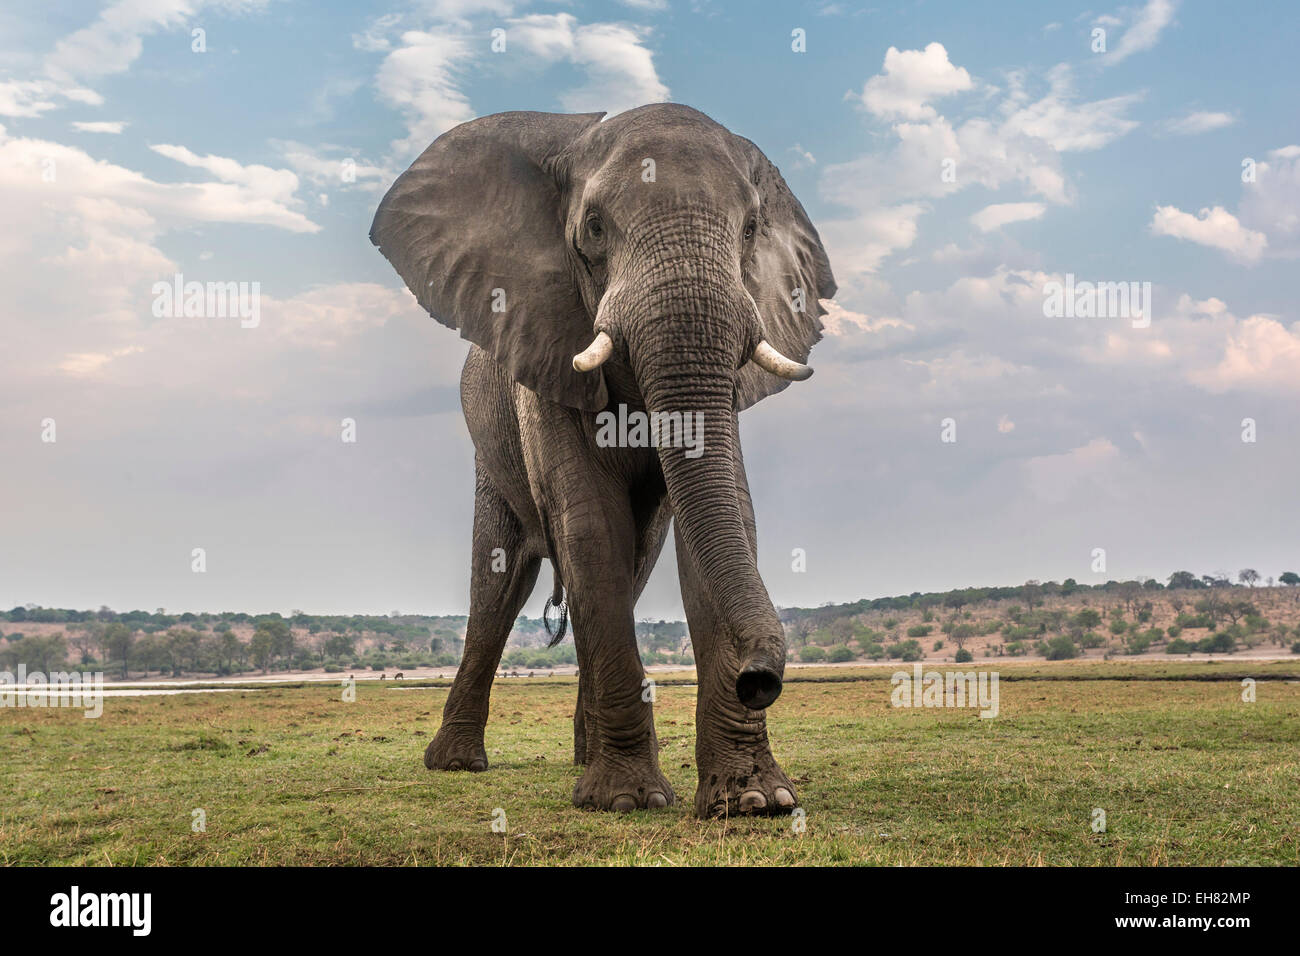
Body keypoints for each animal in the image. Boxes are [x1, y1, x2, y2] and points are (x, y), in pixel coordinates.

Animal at [369, 102, 832, 816]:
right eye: (593, 227)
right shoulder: (544, 355)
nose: (758, 679)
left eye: (753, 228)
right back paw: (458, 764)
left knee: (629, 567)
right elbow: (590, 525)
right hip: (490, 453)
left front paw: (756, 802)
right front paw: (627, 801)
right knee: (500, 585)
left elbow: (720, 524)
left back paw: (584, 759)